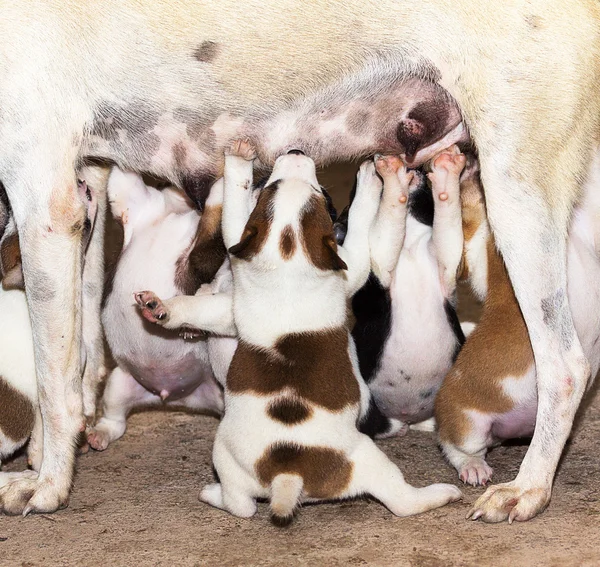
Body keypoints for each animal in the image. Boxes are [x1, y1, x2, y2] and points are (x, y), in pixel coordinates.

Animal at [85, 169, 224, 452]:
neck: (179, 206)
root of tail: (175, 399)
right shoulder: (130, 199)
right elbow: (121, 178)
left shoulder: (203, 253)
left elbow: (214, 220)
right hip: (119, 382)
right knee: (116, 421)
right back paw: (99, 434)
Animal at [336, 145, 472, 434]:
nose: (413, 164)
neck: (408, 240)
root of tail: (409, 417)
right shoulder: (380, 265)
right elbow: (388, 215)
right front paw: (390, 177)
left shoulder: (447, 262)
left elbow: (447, 215)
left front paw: (447, 170)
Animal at [434, 152, 600, 524]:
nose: (466, 156)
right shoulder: (472, 262)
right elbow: (449, 231)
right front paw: (444, 178)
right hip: (468, 423)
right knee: (453, 446)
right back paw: (473, 467)